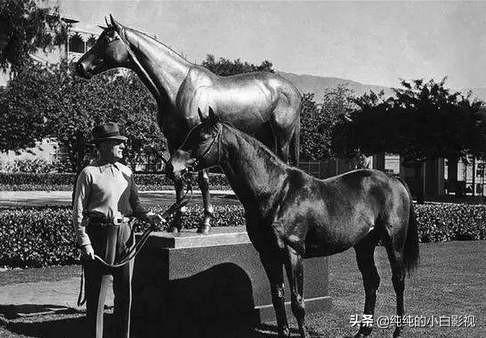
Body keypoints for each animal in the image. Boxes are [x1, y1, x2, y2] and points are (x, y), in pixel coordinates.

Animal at [75, 15, 300, 232]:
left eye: (108, 39)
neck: (177, 86)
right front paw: (176, 223)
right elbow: (178, 179)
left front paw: (205, 223)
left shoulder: (201, 141)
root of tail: (294, 91)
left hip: (282, 138)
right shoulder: (174, 141)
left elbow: (203, 180)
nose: (80, 66)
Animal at [170, 109, 418, 338]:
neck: (277, 191)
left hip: (393, 243)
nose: (171, 167)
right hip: (364, 245)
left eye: (203, 137)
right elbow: (278, 298)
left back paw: (398, 330)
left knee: (398, 281)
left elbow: (297, 302)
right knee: (371, 282)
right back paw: (363, 331)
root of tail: (394, 180)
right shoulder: (267, 254)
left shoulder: (293, 252)